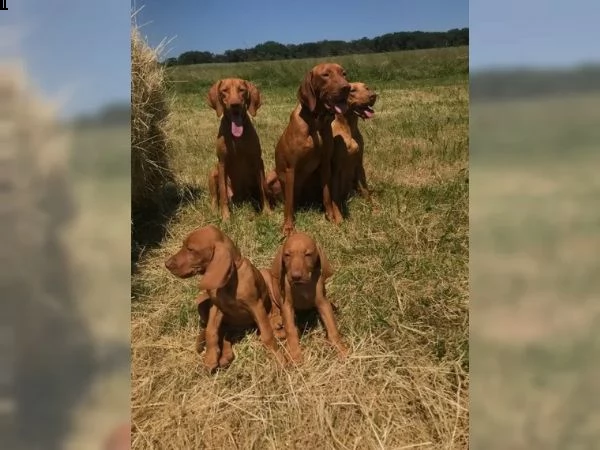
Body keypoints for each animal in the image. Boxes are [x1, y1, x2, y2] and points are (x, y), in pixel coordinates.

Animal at [165, 225, 284, 370]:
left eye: (191, 249)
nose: (166, 264)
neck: (230, 282)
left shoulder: (256, 306)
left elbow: (267, 335)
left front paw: (278, 358)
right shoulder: (216, 307)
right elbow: (211, 331)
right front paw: (210, 357)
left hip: (266, 276)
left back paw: (275, 320)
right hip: (204, 306)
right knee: (224, 333)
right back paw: (225, 356)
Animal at [206, 78, 272, 221]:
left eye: (242, 90)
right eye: (224, 91)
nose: (235, 104)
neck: (237, 138)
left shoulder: (258, 161)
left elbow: (263, 188)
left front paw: (267, 211)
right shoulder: (222, 163)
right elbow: (223, 193)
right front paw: (225, 216)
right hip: (213, 172)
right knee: (215, 198)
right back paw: (214, 211)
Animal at [274, 63, 352, 236]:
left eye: (344, 73)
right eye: (325, 75)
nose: (347, 87)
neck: (316, 120)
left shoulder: (325, 164)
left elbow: (327, 194)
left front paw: (331, 216)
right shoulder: (291, 168)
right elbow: (289, 204)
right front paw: (288, 226)